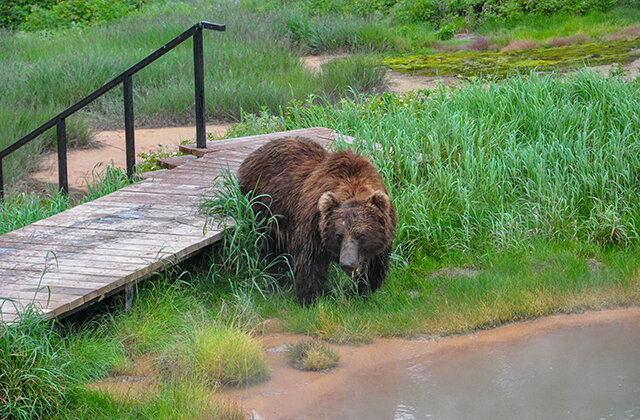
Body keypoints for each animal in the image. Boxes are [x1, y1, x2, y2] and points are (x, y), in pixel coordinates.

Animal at [239, 137, 396, 306]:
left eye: (361, 235)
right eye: (338, 235)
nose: (347, 263)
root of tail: (254, 154)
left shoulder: (383, 232)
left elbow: (375, 265)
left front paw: (362, 291)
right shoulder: (314, 226)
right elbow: (310, 263)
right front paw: (310, 298)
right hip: (262, 207)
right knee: (269, 246)